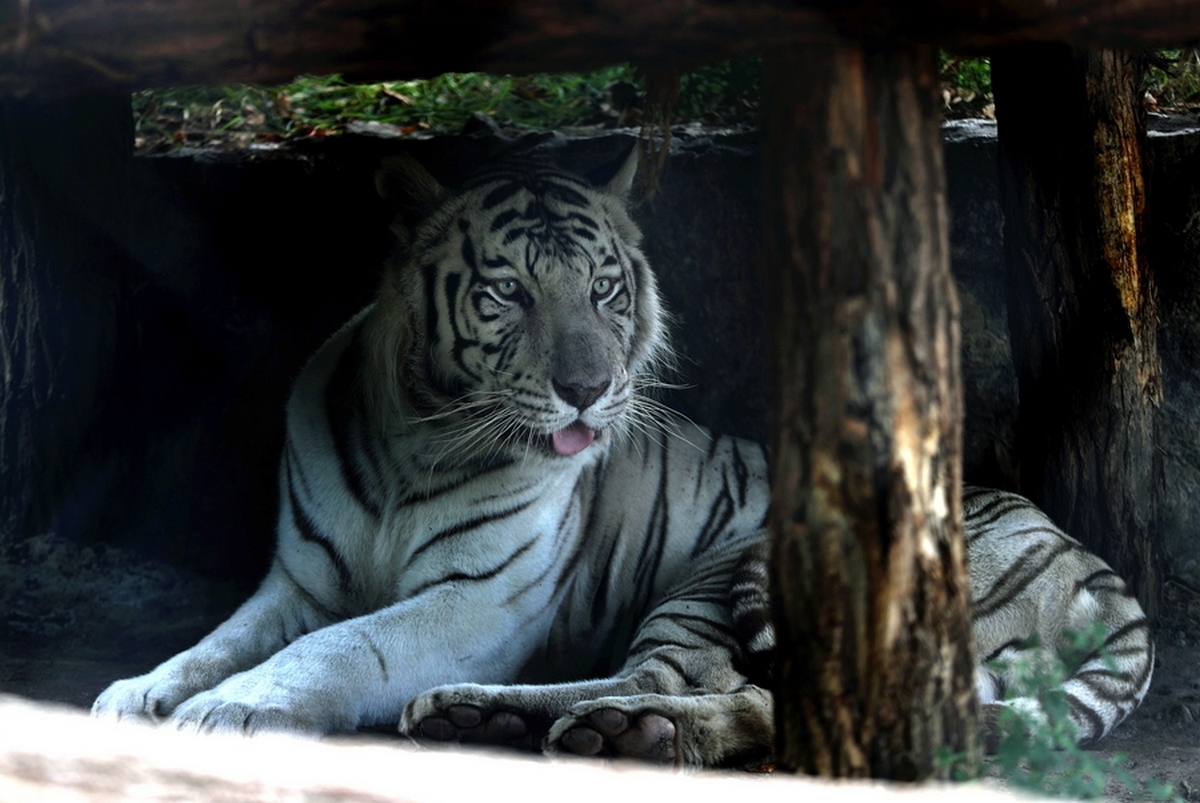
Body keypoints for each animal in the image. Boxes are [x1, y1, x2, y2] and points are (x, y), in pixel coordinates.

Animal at [88, 145, 1147, 763]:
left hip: (723, 572)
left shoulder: (477, 599)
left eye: (604, 287)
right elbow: (219, 637)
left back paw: (610, 730)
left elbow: (340, 645)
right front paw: (137, 691)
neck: (414, 441)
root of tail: (1107, 577)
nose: (589, 387)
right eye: (507, 291)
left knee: (706, 687)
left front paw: (227, 709)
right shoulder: (298, 580)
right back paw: (489, 717)